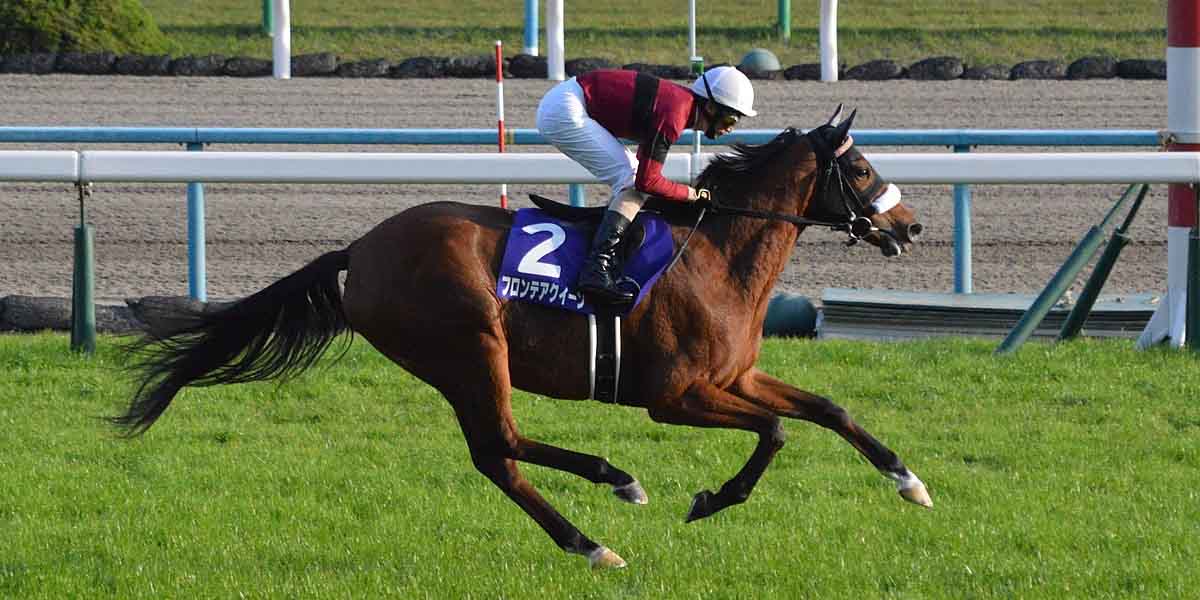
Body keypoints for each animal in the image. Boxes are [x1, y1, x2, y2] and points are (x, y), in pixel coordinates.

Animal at [112, 106, 929, 570]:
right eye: (861, 167)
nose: (911, 225)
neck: (714, 254)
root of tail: (359, 250)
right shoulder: (675, 397)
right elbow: (776, 433)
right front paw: (710, 499)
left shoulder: (732, 378)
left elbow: (828, 409)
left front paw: (908, 481)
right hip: (471, 347)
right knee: (501, 446)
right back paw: (611, 490)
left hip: (462, 361)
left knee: (497, 458)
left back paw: (589, 540)